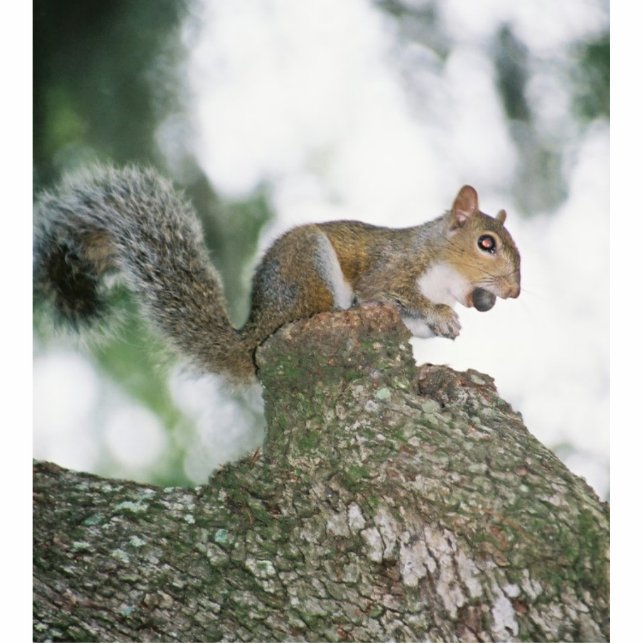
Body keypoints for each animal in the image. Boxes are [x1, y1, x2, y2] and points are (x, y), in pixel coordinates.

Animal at [34, 165, 521, 383]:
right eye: (487, 244)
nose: (515, 292)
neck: (440, 265)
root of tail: (259, 327)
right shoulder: (393, 266)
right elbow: (389, 290)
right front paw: (441, 314)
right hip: (310, 272)